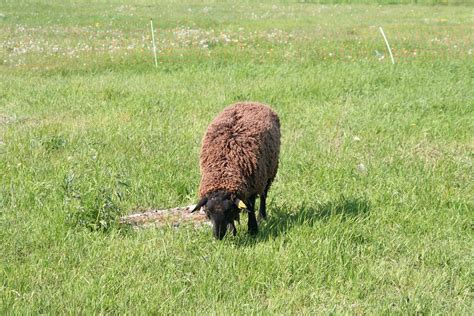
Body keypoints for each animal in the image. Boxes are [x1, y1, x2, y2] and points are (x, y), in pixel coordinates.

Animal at [191, 102, 280, 238]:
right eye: (208, 212)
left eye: (228, 210)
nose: (218, 236)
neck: (224, 170)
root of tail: (251, 102)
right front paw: (232, 230)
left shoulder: (252, 186)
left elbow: (250, 207)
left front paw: (252, 229)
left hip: (269, 172)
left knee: (264, 195)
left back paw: (262, 216)